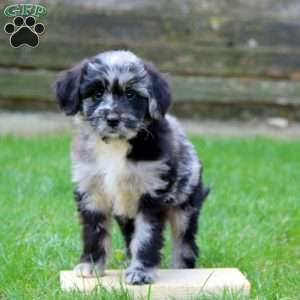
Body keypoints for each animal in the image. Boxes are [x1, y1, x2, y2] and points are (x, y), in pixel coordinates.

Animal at [54, 50, 209, 284]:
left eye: (131, 95)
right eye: (97, 93)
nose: (112, 119)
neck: (115, 145)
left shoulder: (151, 195)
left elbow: (145, 237)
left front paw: (141, 272)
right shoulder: (92, 192)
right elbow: (94, 231)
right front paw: (91, 265)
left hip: (185, 206)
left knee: (185, 242)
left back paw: (182, 267)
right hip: (126, 215)